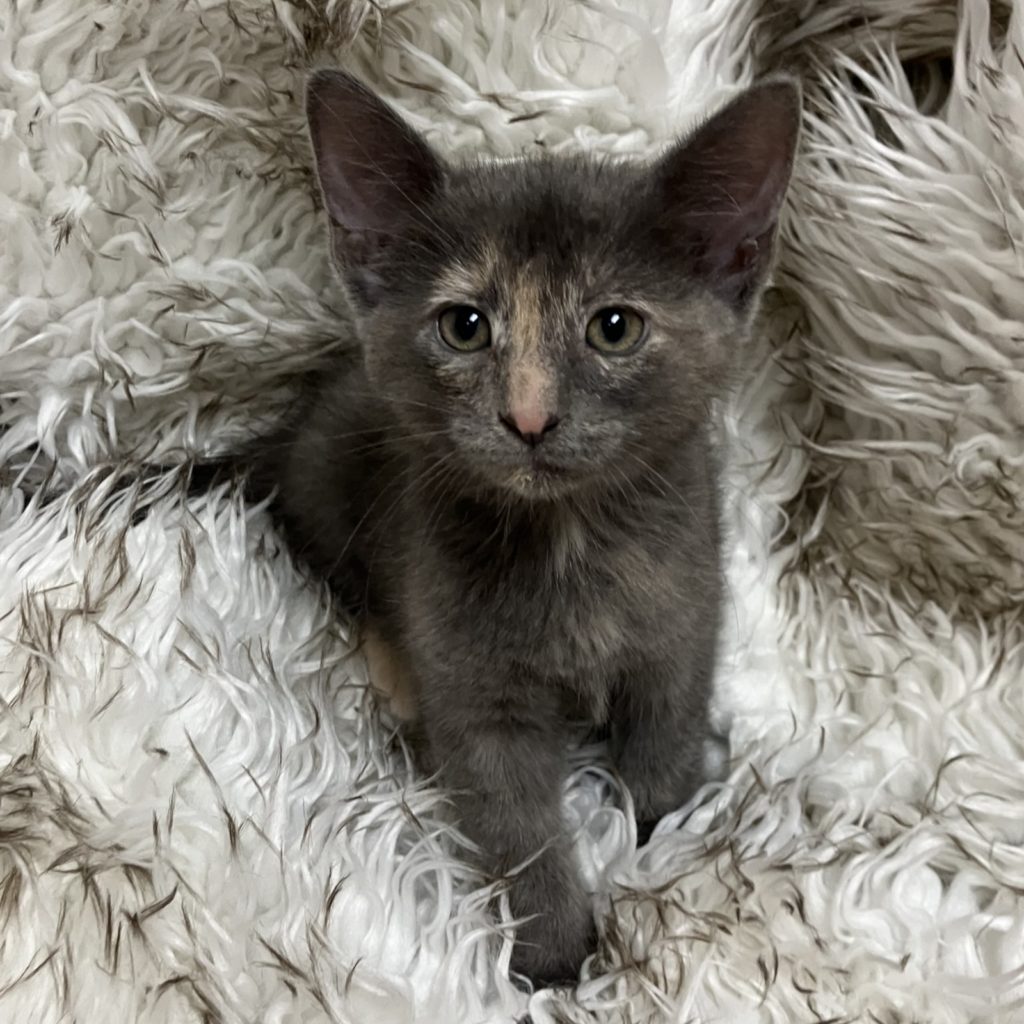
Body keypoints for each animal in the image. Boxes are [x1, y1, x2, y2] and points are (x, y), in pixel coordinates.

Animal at [252, 70, 800, 985]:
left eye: (614, 326)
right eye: (464, 325)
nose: (530, 416)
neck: (566, 541)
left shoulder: (684, 618)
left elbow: (666, 738)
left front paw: (659, 840)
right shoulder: (473, 682)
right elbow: (514, 820)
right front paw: (552, 962)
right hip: (328, 491)